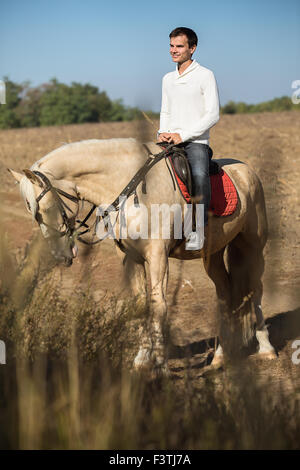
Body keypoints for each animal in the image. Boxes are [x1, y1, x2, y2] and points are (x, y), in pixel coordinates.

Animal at [8, 138, 276, 372]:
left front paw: (161, 367)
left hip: (253, 246)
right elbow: (140, 305)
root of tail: (246, 170)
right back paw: (219, 358)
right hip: (214, 254)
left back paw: (266, 349)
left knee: (256, 289)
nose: (59, 254)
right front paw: (141, 360)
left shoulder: (158, 256)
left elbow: (159, 306)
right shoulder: (131, 258)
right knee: (225, 293)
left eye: (45, 209)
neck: (131, 189)